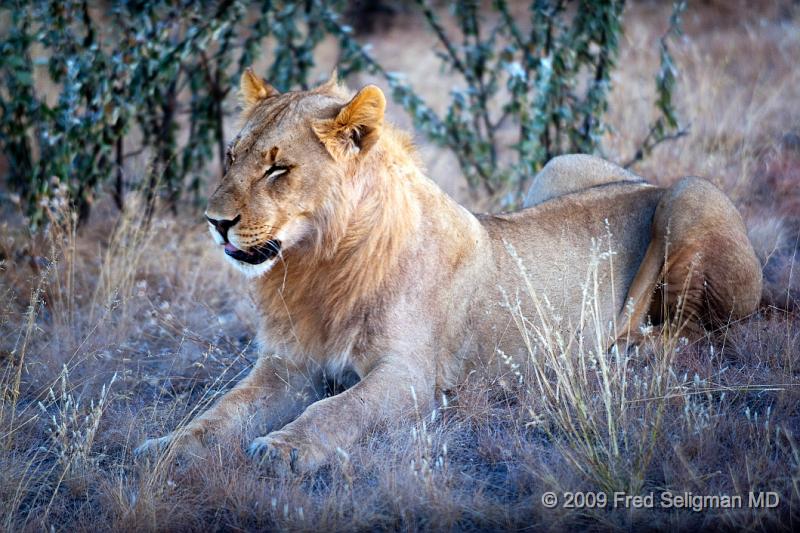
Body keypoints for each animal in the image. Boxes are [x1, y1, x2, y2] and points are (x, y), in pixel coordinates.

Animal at [136, 67, 764, 470]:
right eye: (230, 156)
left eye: (278, 169)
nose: (214, 222)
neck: (315, 267)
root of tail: (649, 182)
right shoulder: (288, 365)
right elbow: (221, 412)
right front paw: (166, 447)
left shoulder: (412, 377)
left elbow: (337, 408)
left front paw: (282, 450)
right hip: (561, 164)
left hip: (689, 196)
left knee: (700, 331)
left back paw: (620, 351)